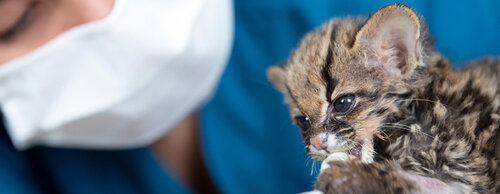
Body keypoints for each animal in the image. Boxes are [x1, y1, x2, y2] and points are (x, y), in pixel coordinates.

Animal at [268, 3, 500, 193]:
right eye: (303, 121)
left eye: (342, 103)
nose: (316, 143)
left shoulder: (468, 170)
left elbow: (427, 184)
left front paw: (347, 177)